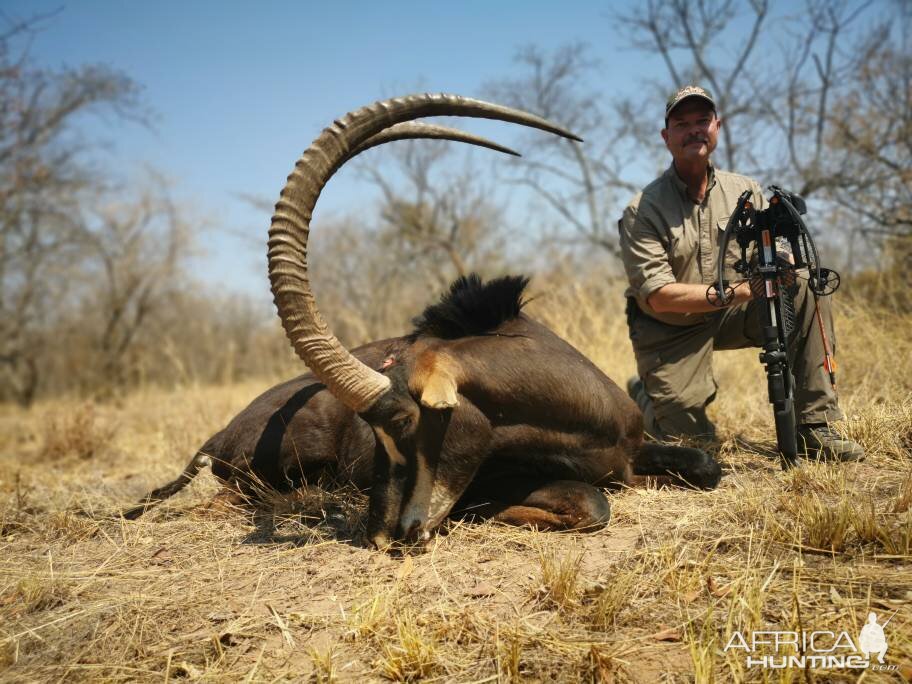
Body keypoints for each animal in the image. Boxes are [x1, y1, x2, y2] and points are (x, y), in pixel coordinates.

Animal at [124, 95, 724, 552]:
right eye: (374, 436)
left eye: (406, 423)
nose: (386, 535)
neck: (581, 418)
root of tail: (220, 432)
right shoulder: (500, 478)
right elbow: (592, 500)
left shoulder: (636, 447)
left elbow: (703, 464)